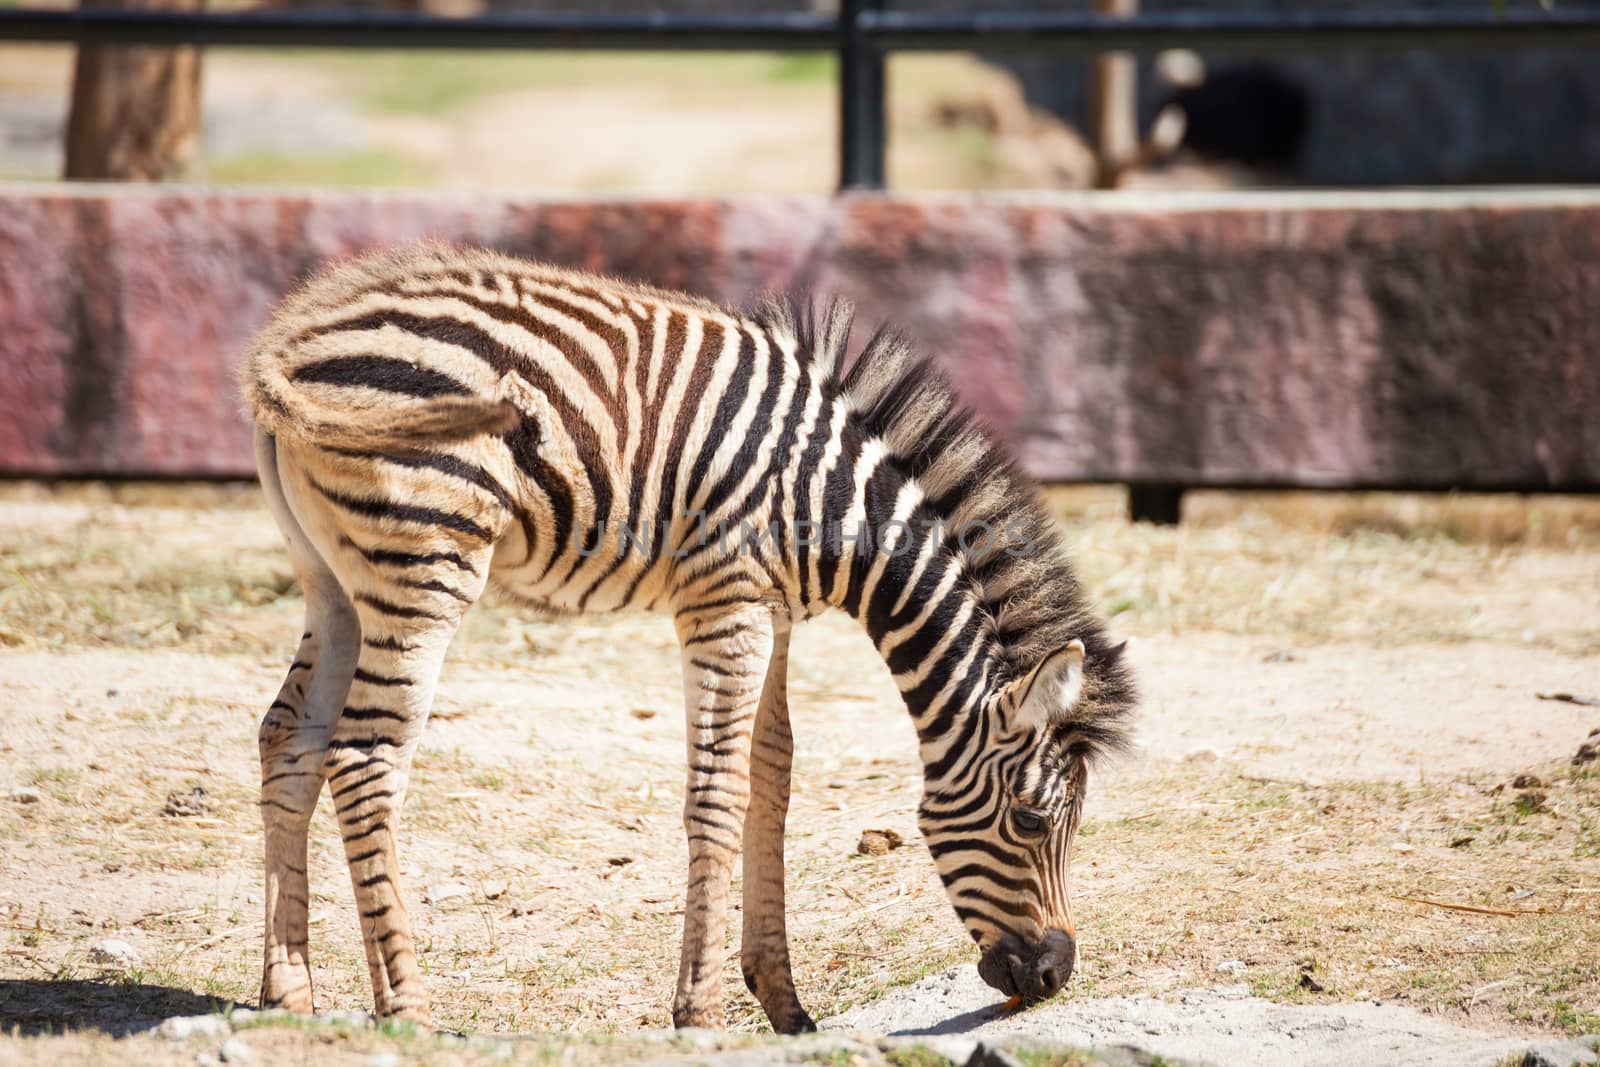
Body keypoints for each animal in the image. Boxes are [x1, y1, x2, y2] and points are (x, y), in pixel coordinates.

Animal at [240, 241, 1139, 1036]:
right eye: (1030, 819)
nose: (1056, 972)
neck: (839, 510)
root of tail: (294, 338)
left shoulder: (773, 612)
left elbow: (773, 777)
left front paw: (785, 1004)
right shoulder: (725, 600)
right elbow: (719, 792)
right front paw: (699, 1013)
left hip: (335, 580)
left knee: (289, 739)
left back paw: (289, 994)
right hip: (425, 560)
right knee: (365, 761)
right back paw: (407, 1009)